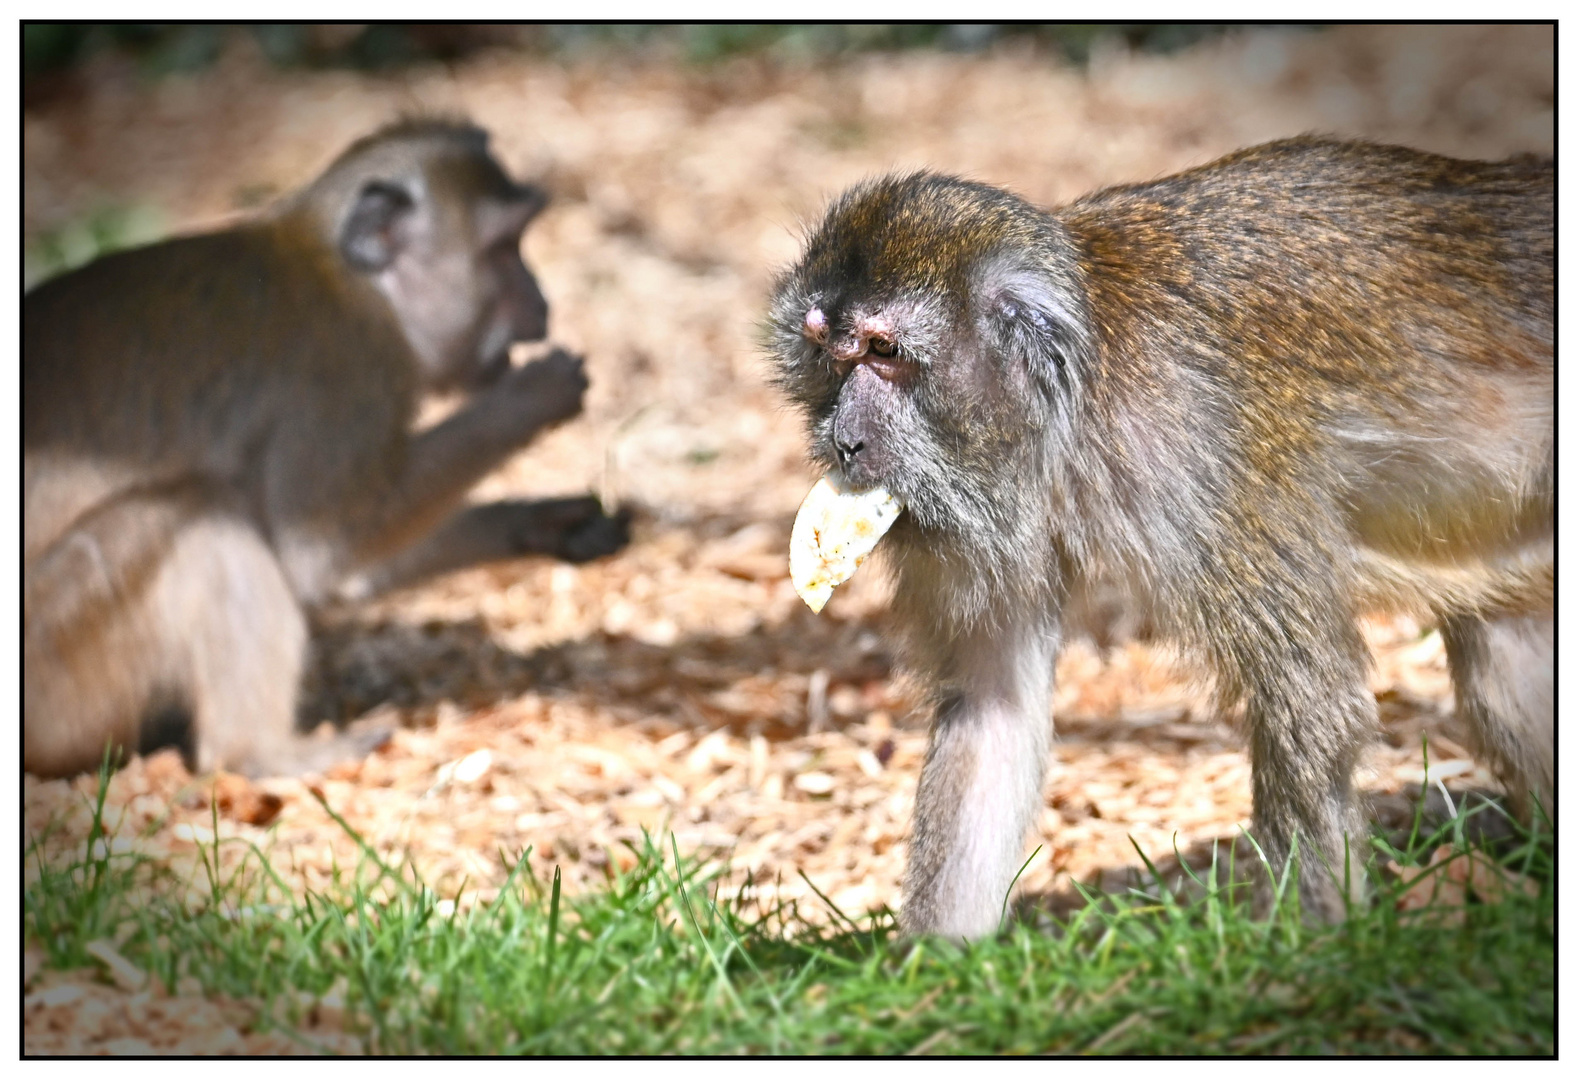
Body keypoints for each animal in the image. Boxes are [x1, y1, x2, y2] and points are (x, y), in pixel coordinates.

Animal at [24, 118, 628, 780]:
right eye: (501, 251)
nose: (542, 303)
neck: (356, 282)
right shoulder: (354, 368)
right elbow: (321, 555)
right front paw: (531, 397)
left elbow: (341, 572)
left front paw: (540, 523)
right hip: (59, 670)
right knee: (205, 516)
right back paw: (258, 754)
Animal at [766, 138, 1552, 941]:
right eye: (831, 355)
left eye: (883, 350)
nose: (844, 439)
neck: (1075, 400)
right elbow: (992, 711)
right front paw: (937, 964)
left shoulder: (1194, 455)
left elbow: (1312, 703)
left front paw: (1312, 941)